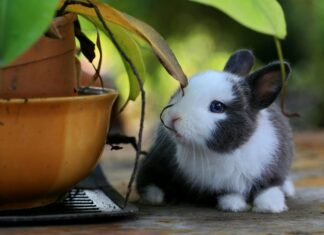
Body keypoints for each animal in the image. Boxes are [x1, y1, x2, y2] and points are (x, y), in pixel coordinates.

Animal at [135, 49, 294, 213]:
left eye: (217, 107)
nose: (173, 117)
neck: (230, 152)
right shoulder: (221, 185)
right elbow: (228, 194)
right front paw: (234, 206)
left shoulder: (274, 169)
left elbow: (269, 188)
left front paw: (271, 206)